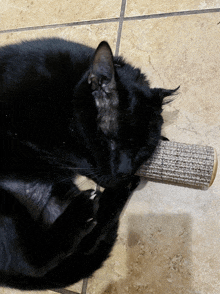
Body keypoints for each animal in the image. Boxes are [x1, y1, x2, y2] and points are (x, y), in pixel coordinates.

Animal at [0, 39, 177, 290]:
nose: (124, 171)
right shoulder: (41, 136)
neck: (69, 88)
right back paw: (85, 208)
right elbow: (82, 159)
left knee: (83, 241)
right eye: (111, 141)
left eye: (142, 149)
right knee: (32, 261)